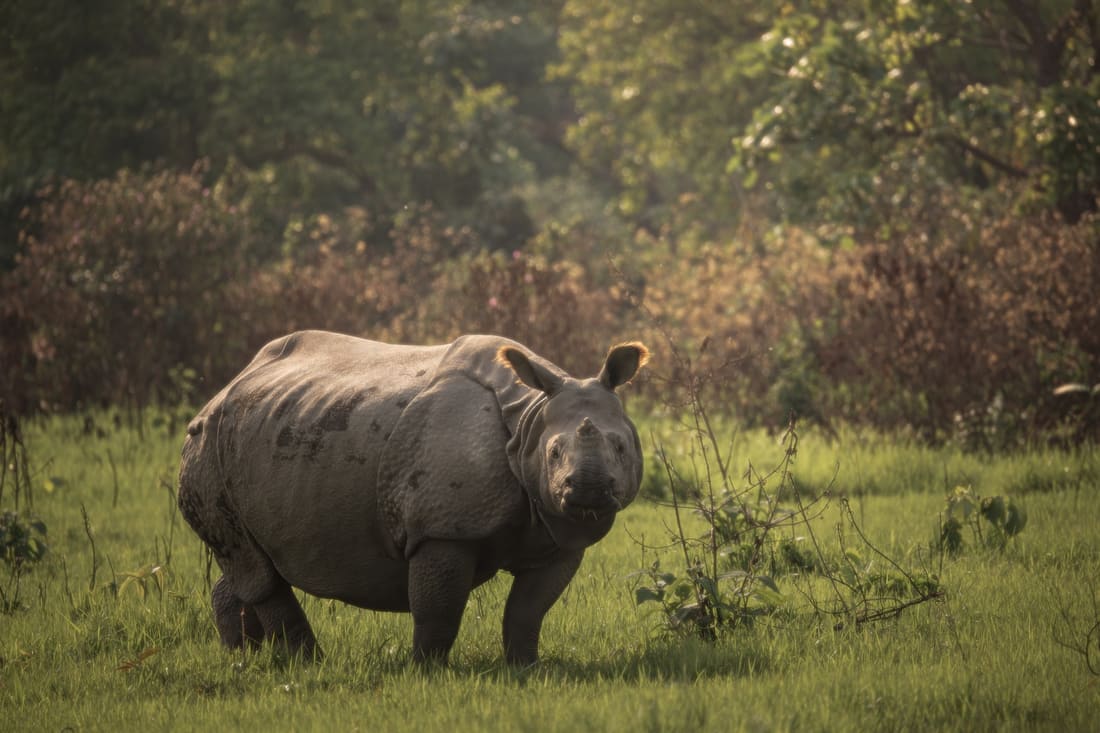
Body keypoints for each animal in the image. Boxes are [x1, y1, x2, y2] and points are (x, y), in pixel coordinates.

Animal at [177, 330, 648, 665]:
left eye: (621, 448)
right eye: (553, 453)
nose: (588, 491)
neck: (528, 420)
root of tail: (225, 388)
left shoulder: (557, 538)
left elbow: (529, 608)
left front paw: (525, 667)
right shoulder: (440, 528)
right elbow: (438, 607)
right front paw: (426, 670)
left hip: (266, 435)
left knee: (250, 561)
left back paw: (245, 656)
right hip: (207, 447)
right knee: (255, 570)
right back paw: (308, 663)